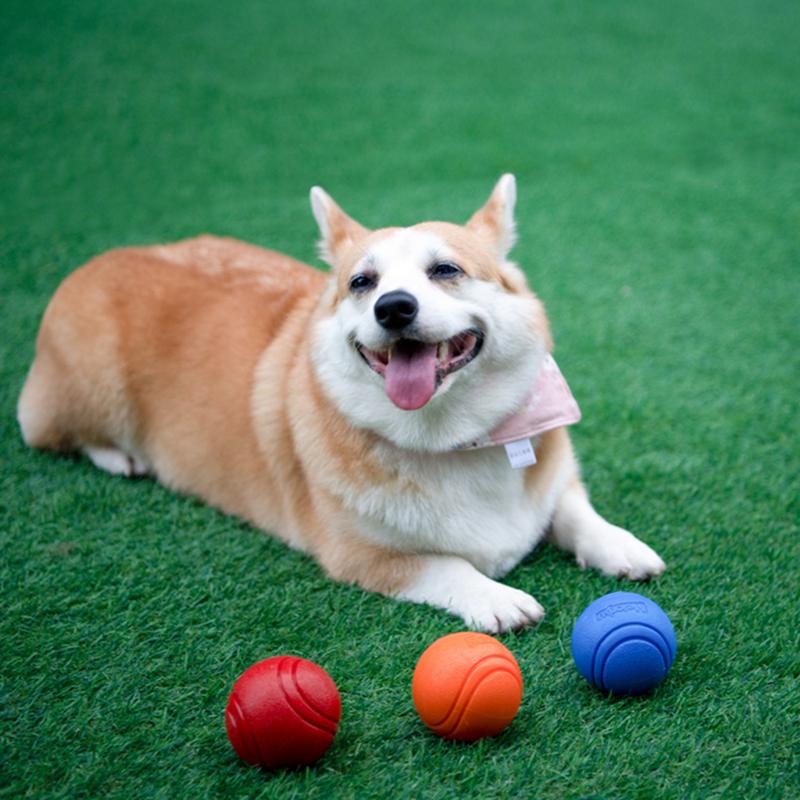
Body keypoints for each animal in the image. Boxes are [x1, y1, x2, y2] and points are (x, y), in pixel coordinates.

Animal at [20, 175, 668, 632]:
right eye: (362, 283)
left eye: (446, 270)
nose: (394, 308)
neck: (454, 438)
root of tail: (101, 258)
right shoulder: (361, 556)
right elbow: (447, 564)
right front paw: (498, 598)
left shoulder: (556, 481)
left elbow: (575, 510)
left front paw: (622, 546)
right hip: (91, 391)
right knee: (55, 433)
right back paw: (120, 457)